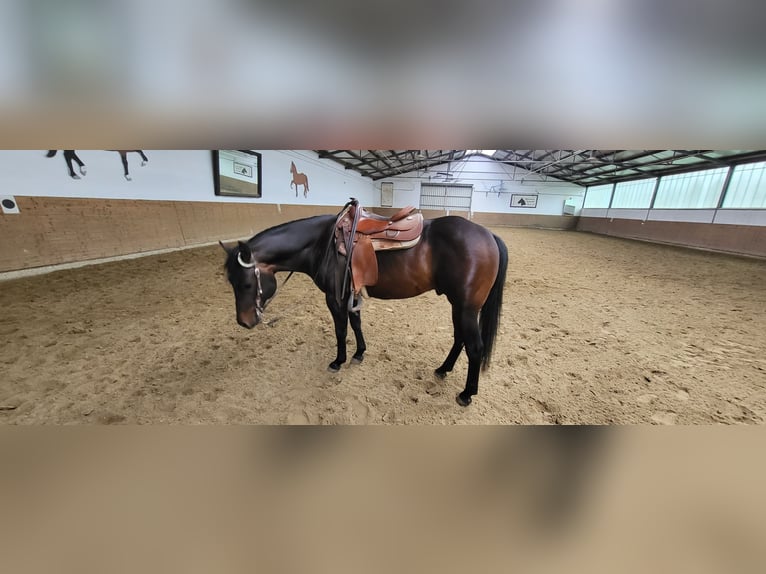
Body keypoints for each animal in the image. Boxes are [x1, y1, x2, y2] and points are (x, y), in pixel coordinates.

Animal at [220, 202, 508, 407]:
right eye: (230, 281)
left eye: (246, 284)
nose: (244, 322)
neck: (322, 243)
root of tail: (488, 234)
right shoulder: (351, 293)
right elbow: (356, 323)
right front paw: (359, 353)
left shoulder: (334, 297)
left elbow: (341, 330)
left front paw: (338, 361)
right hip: (457, 305)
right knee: (460, 339)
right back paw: (443, 369)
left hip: (467, 308)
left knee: (475, 347)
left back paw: (467, 393)